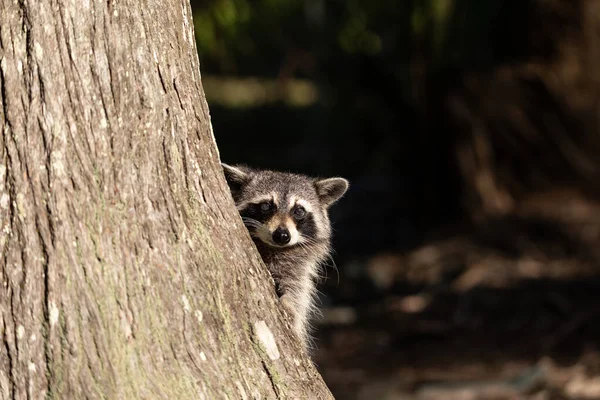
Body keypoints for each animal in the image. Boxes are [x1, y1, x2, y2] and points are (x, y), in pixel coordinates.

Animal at [223, 162, 350, 346]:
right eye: (266, 206)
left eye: (299, 210)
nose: (282, 236)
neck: (273, 248)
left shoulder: (296, 268)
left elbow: (297, 290)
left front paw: (290, 305)